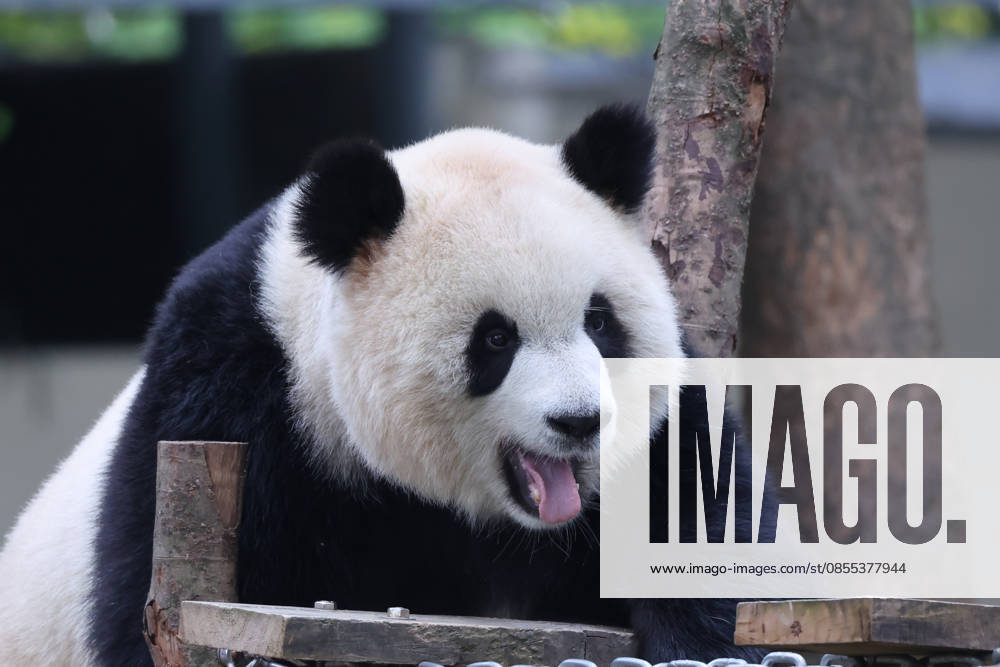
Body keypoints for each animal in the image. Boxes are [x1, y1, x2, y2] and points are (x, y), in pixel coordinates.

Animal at [0, 104, 758, 666]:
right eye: (495, 339)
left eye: (600, 321)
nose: (580, 421)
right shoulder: (233, 397)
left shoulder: (667, 430)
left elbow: (708, 520)